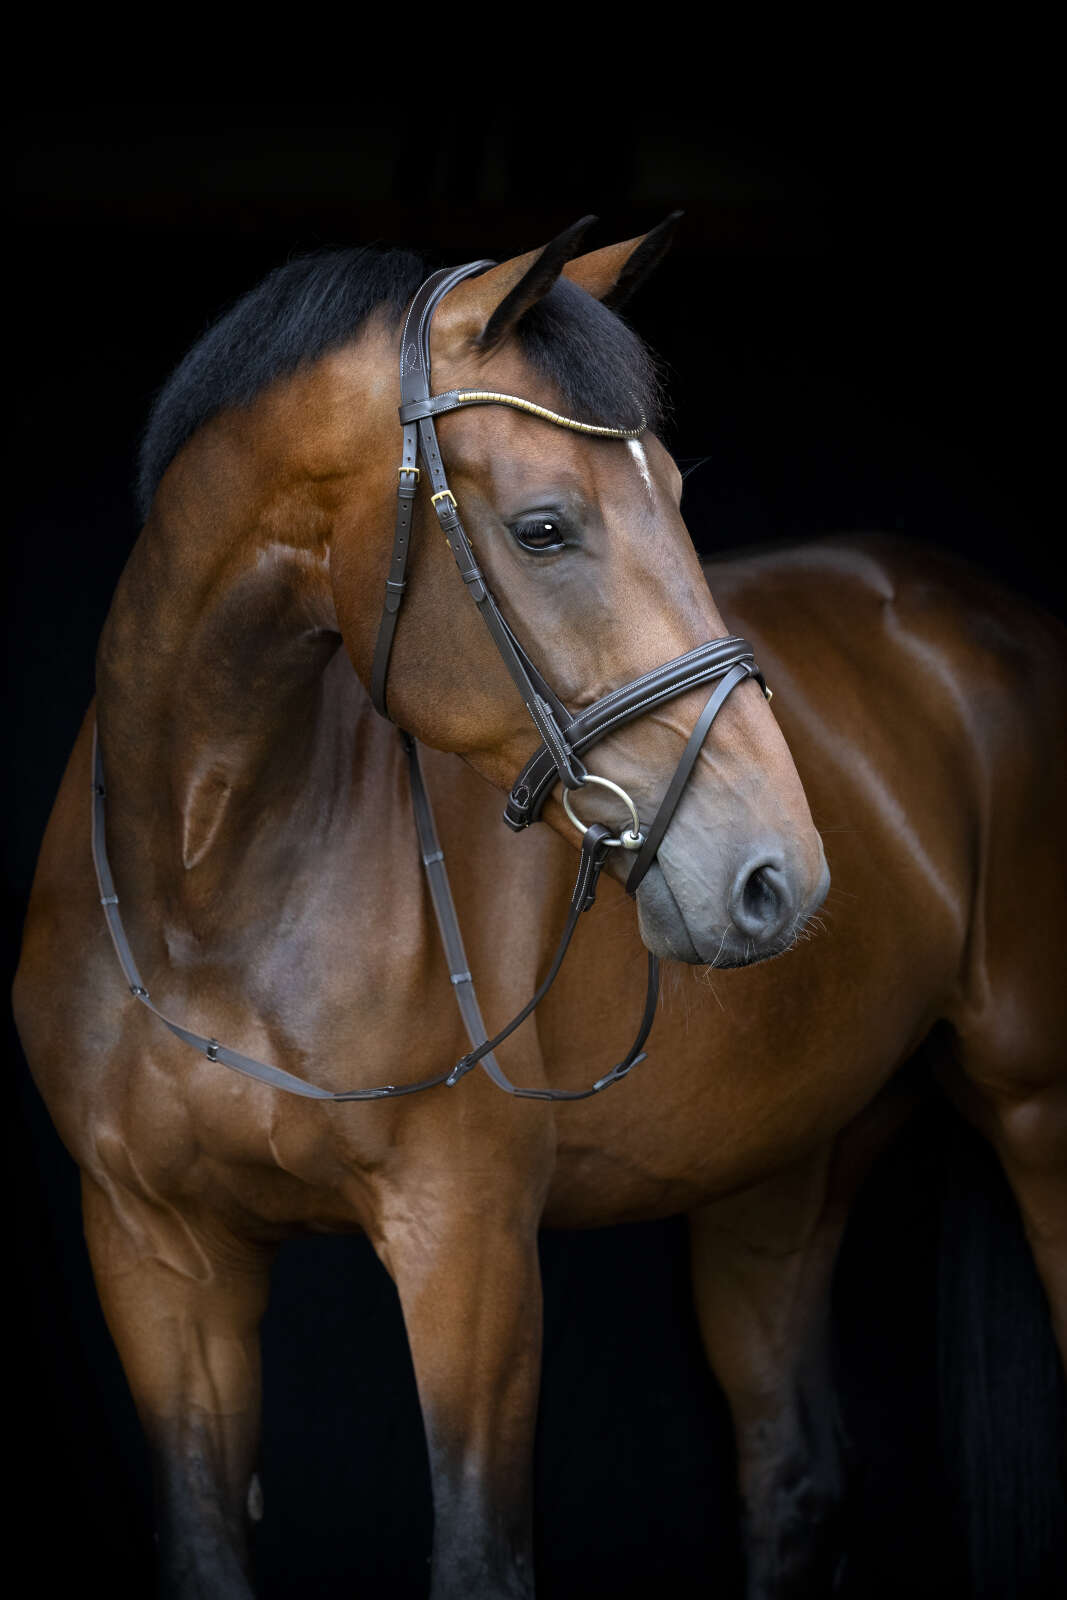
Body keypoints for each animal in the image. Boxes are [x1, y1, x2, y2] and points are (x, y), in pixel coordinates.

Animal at [13, 221, 1066, 1599]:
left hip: (1034, 1108)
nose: (774, 873)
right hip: (780, 1167)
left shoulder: (467, 1253)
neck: (206, 892)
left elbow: (479, 1555)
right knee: (793, 1476)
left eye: (673, 496)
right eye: (545, 527)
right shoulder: (156, 1257)